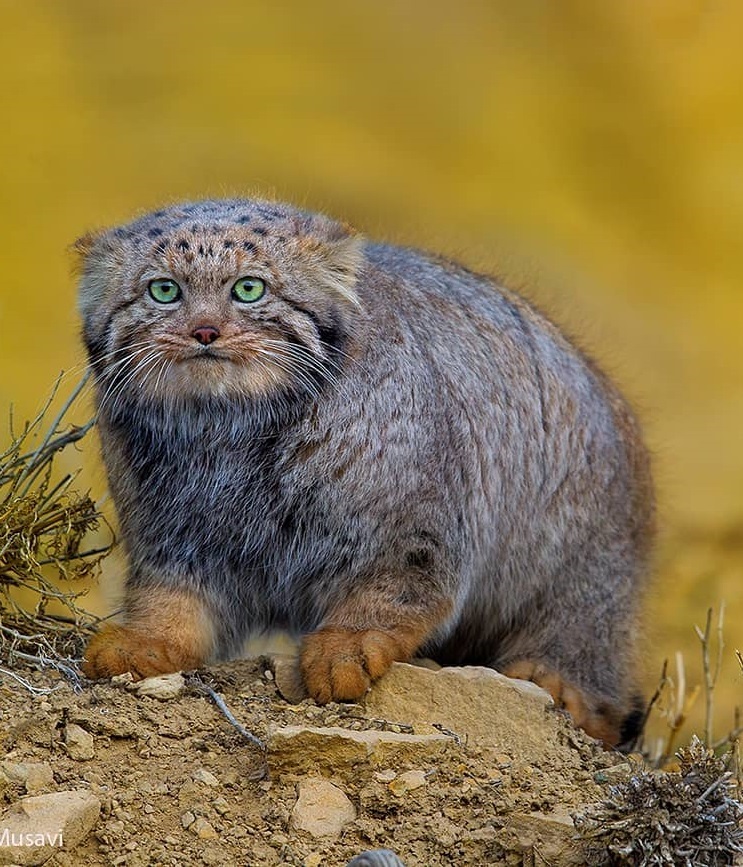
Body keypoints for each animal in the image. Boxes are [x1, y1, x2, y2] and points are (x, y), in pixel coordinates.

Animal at [78, 202, 652, 744]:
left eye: (248, 289)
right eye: (164, 291)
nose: (204, 331)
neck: (228, 432)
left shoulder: (411, 532)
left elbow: (390, 594)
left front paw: (346, 645)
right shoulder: (171, 534)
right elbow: (170, 598)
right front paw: (151, 639)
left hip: (579, 571)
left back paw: (560, 684)